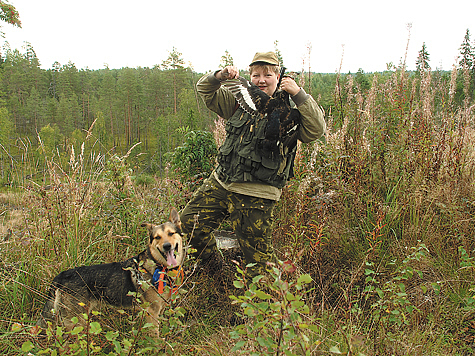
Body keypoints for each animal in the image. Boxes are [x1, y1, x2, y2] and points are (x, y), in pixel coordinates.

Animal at [36, 207, 185, 336]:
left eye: (171, 233)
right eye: (157, 237)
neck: (158, 265)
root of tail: (60, 277)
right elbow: (155, 339)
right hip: (75, 323)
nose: (167, 246)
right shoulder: (151, 313)